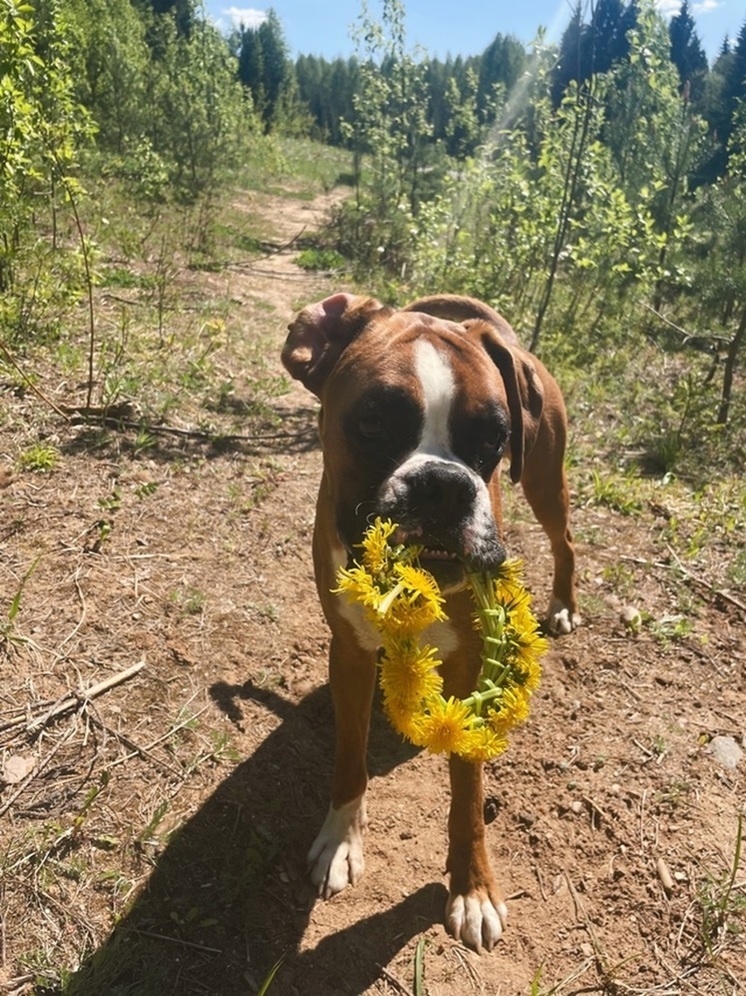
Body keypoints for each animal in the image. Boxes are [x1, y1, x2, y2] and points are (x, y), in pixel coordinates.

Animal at [282, 292, 580, 952]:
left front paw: (473, 888)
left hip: (546, 480)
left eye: (495, 436)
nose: (443, 484)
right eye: (372, 423)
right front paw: (342, 839)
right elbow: (349, 755)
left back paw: (564, 603)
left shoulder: (472, 664)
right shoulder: (350, 651)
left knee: (565, 540)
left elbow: (468, 793)